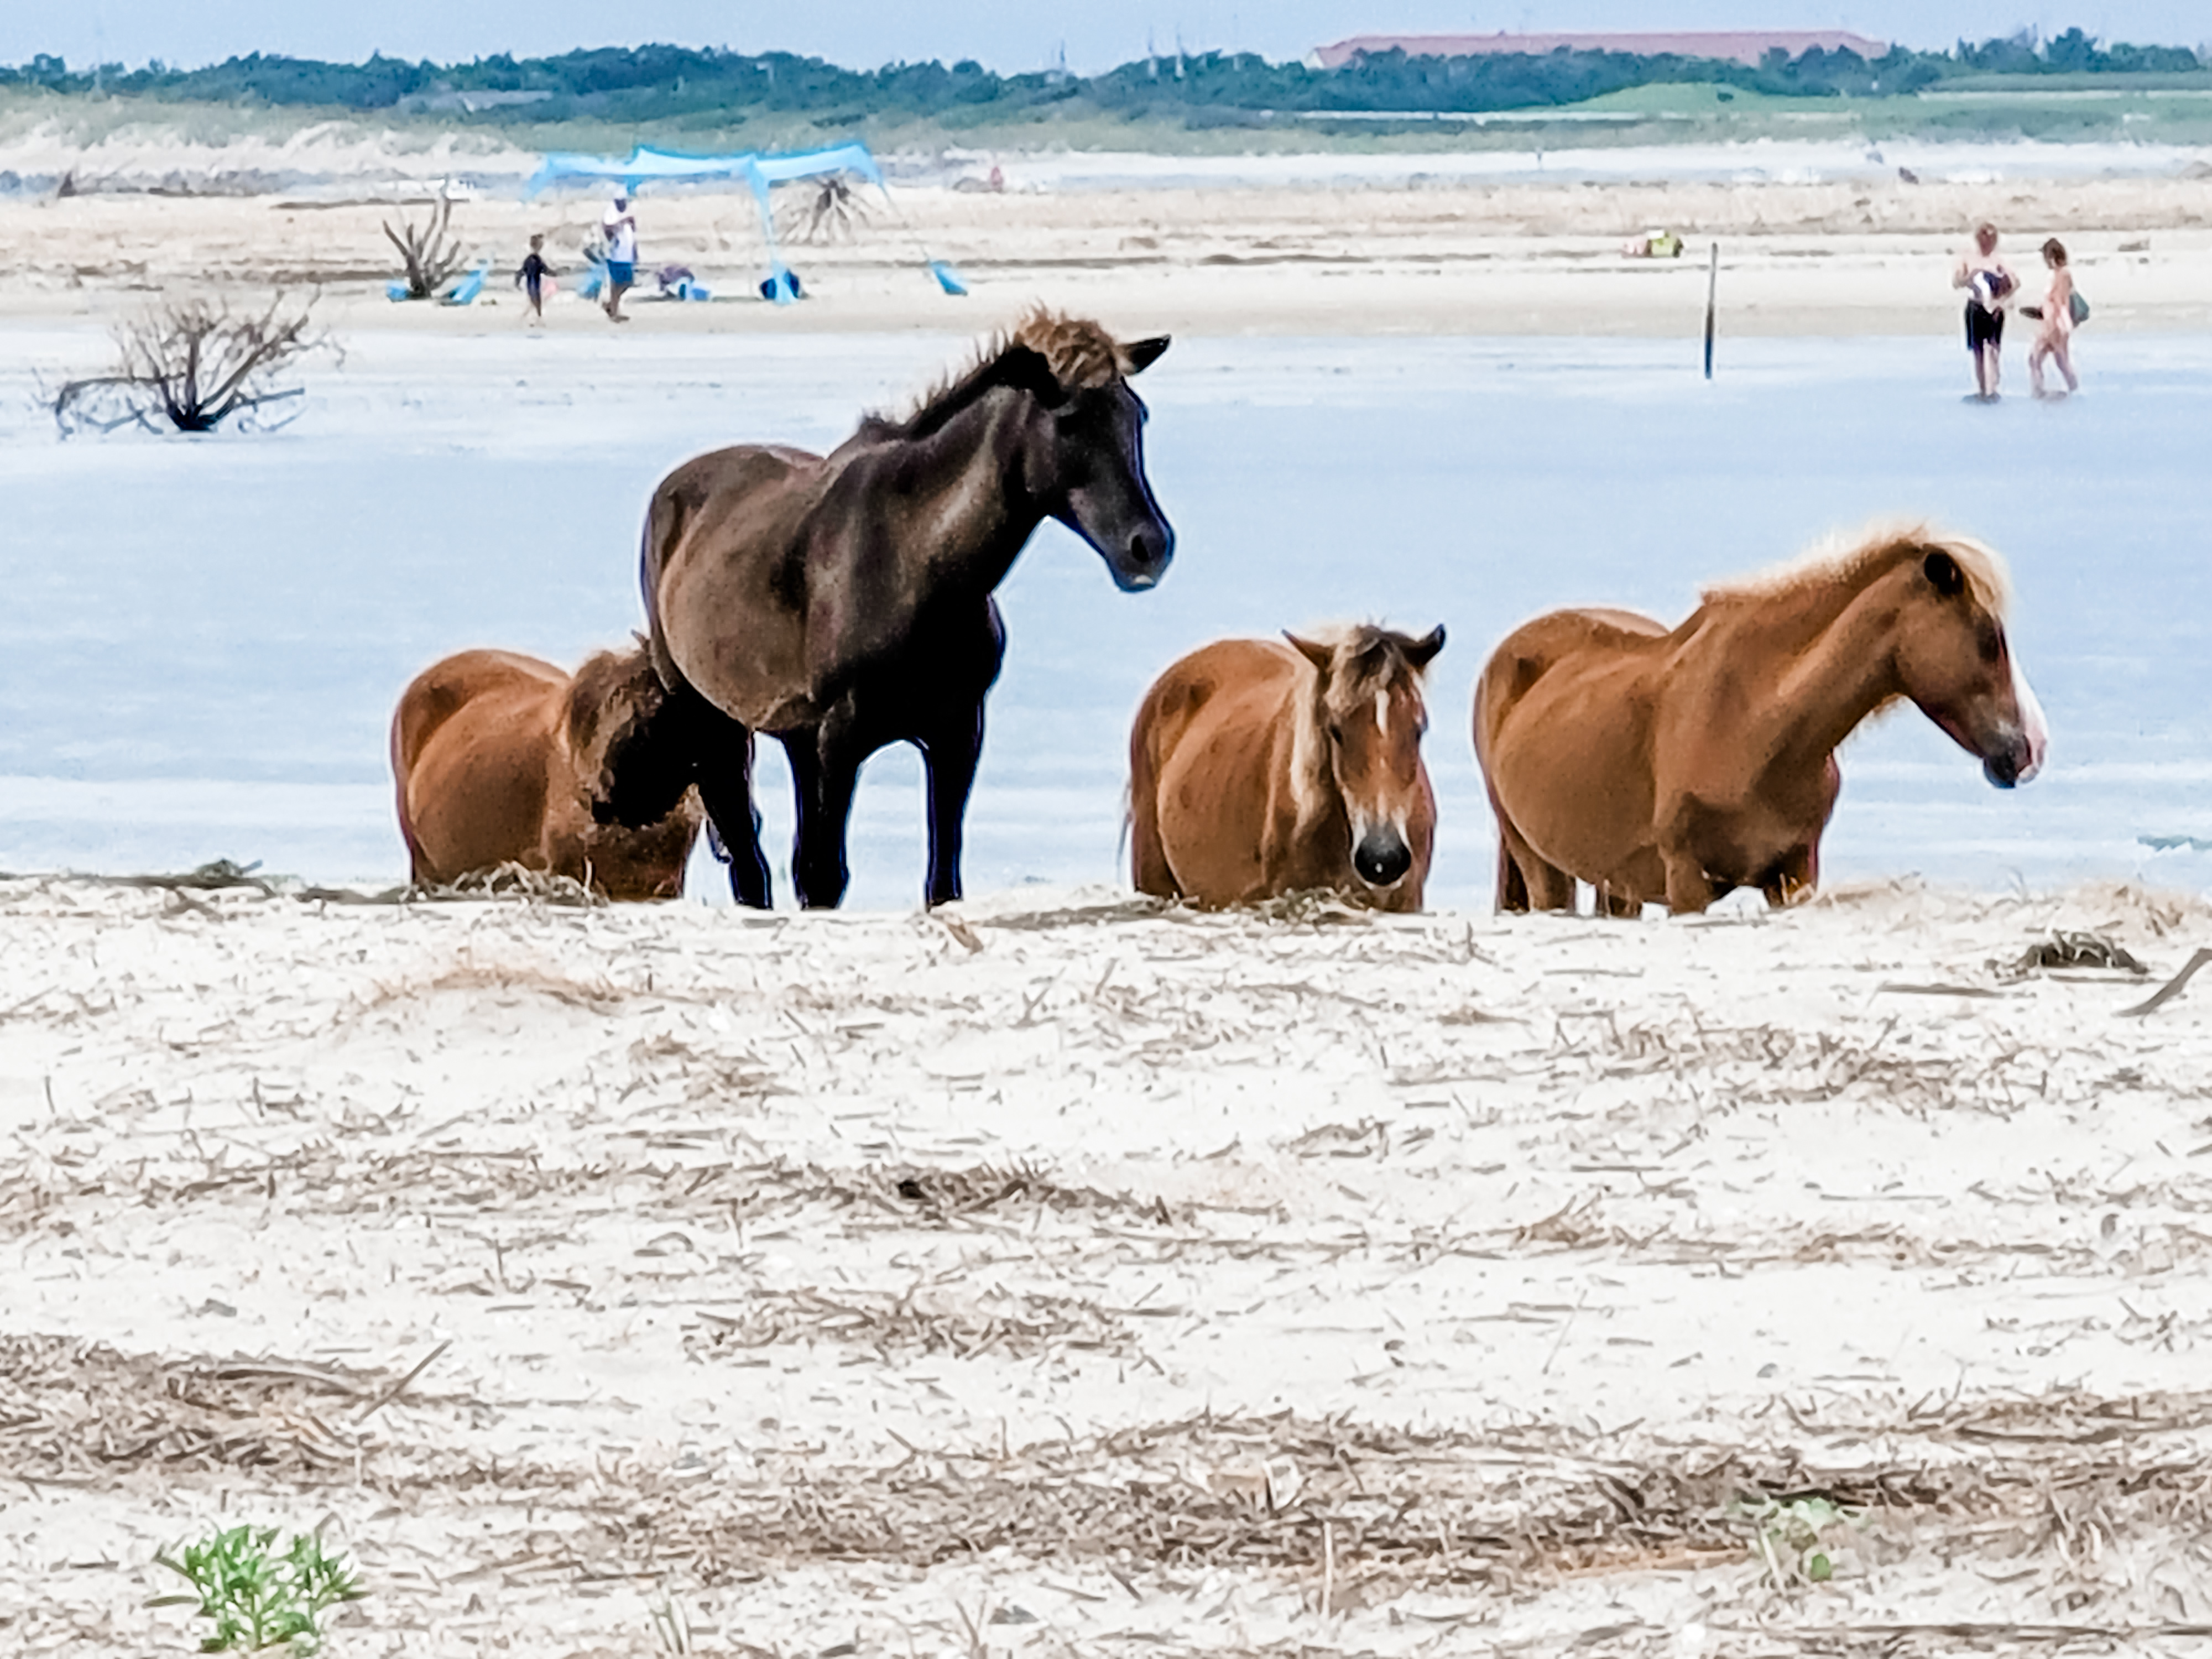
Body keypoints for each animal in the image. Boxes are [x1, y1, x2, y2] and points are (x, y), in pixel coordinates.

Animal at [637, 312, 1177, 911]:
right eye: (1069, 422)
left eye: (1137, 415)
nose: (1149, 547)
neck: (914, 567)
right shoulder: (840, 739)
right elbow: (825, 877)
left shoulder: (956, 733)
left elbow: (942, 880)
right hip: (708, 719)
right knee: (747, 858)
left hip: (796, 739)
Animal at [1478, 526, 2044, 916]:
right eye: (1990, 638)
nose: (2032, 750)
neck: (1755, 723)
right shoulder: (1686, 880)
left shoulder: (1795, 874)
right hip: (1537, 861)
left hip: (1616, 885)